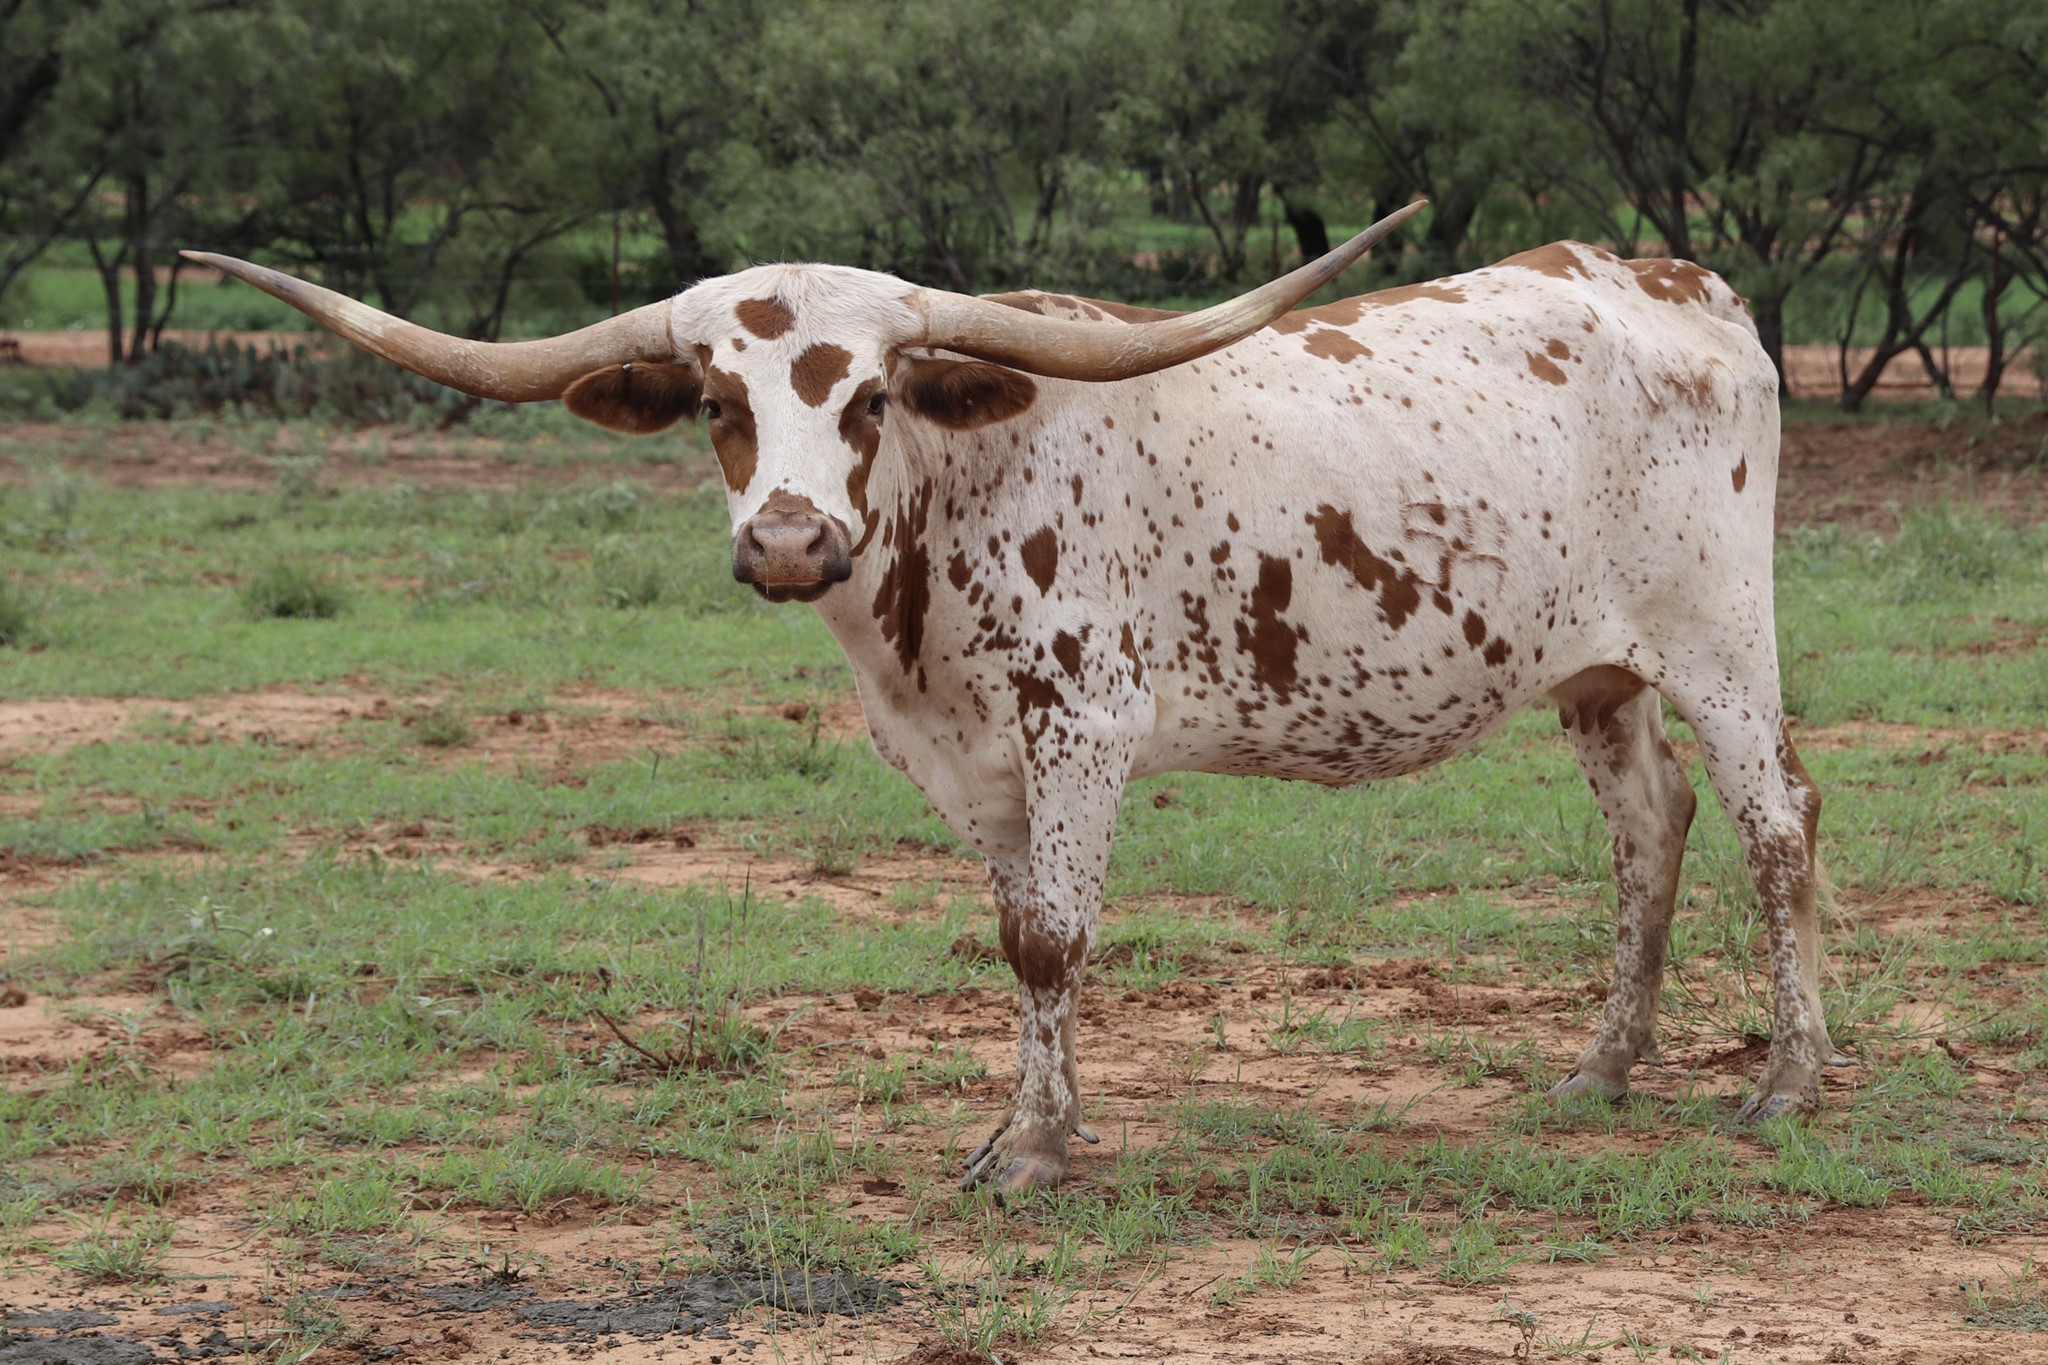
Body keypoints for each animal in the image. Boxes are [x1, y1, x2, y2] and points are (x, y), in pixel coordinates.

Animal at [184, 203, 1837, 1194]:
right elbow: (1013, 937)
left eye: (867, 396)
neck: (955, 494)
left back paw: (1788, 1086)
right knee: (1651, 825)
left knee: (1777, 824)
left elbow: (1054, 936)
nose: (790, 543)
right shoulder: (967, 760)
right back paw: (1601, 1069)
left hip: (1721, 643)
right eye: (718, 403)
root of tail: (1673, 278)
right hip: (1598, 670)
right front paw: (1031, 1119)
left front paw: (1039, 1151)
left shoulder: (1081, 729)